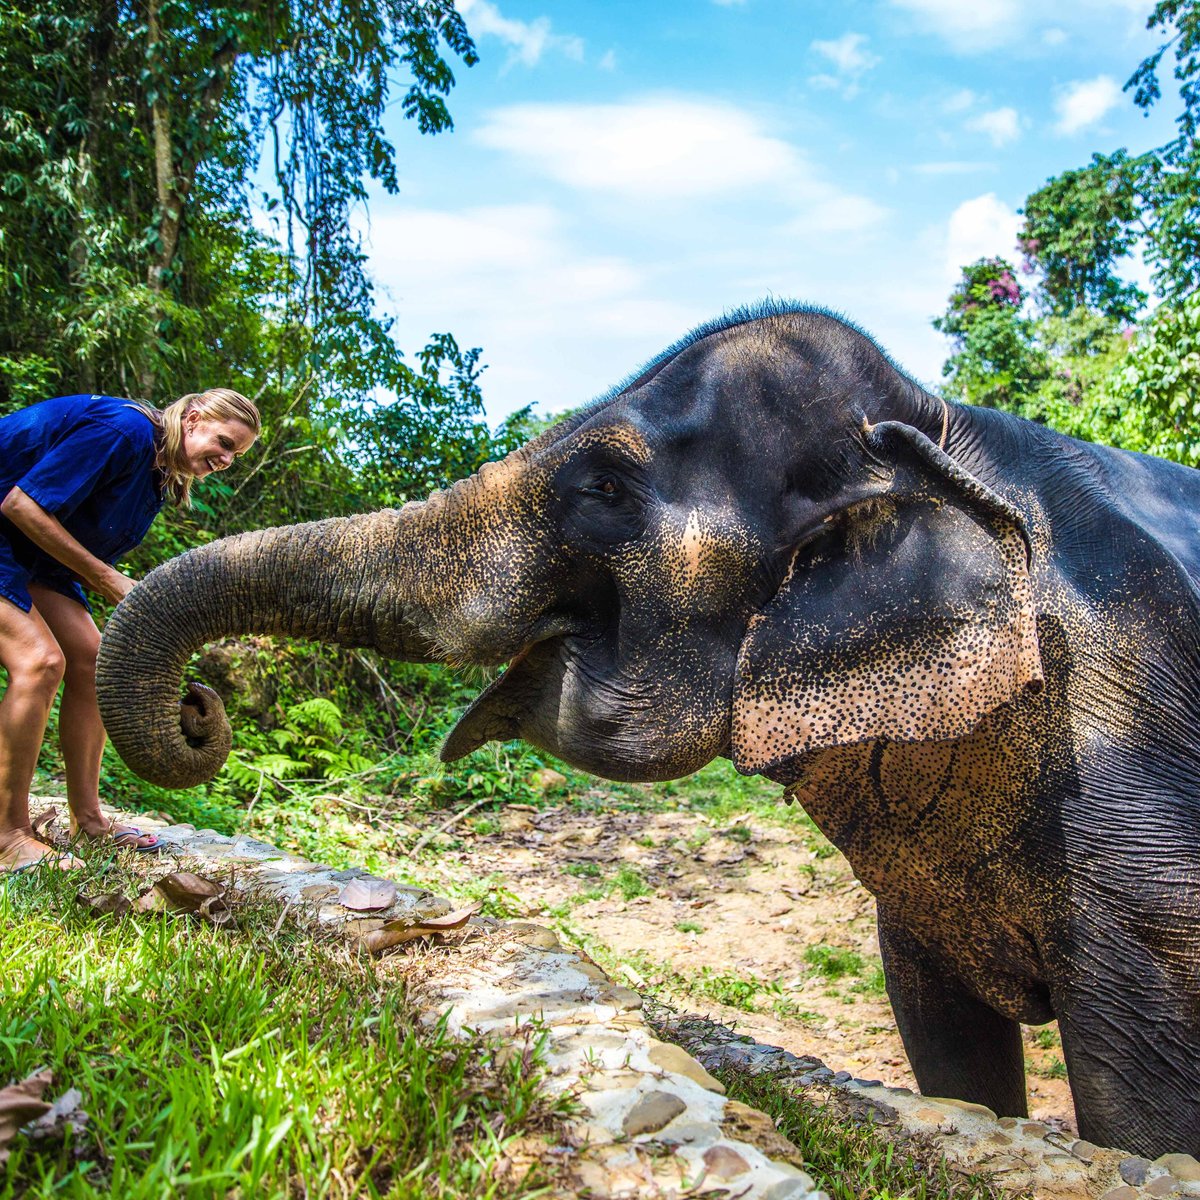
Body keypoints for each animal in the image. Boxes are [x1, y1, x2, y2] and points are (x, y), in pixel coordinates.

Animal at [98, 304, 1200, 1156]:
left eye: (605, 489)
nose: (199, 708)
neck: (940, 425)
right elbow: (952, 1055)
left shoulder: (1137, 800)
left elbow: (1143, 1119)